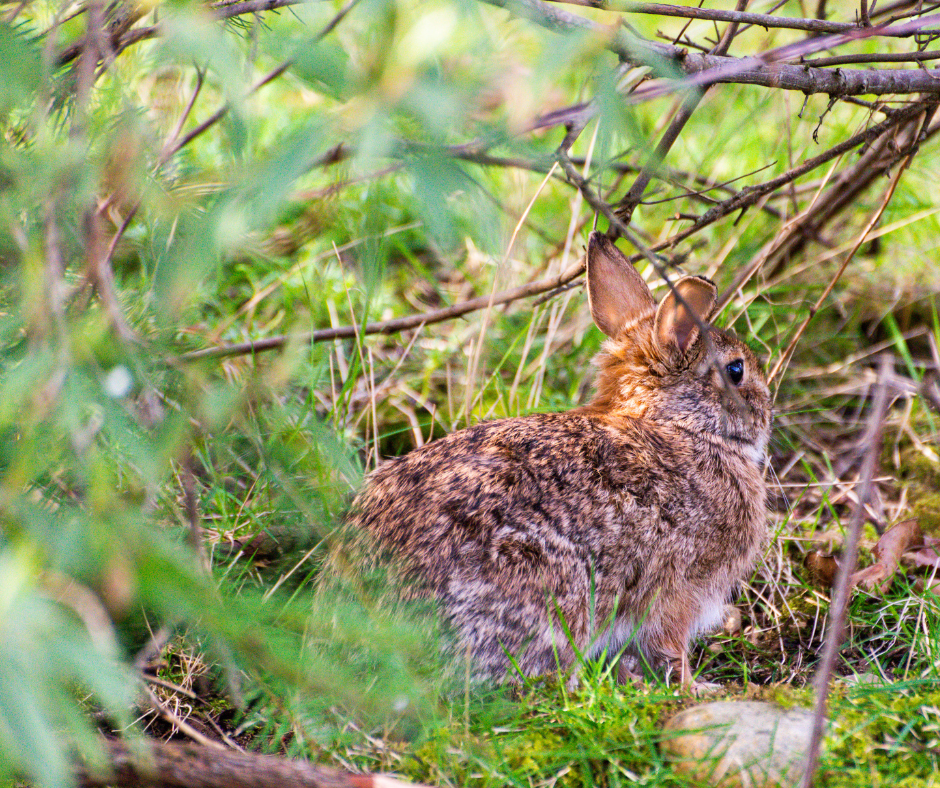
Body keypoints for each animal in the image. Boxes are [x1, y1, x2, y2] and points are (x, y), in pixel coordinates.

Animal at [348, 231, 772, 692]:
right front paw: (698, 688)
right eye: (735, 371)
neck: (681, 426)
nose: (767, 413)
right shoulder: (680, 590)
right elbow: (670, 649)